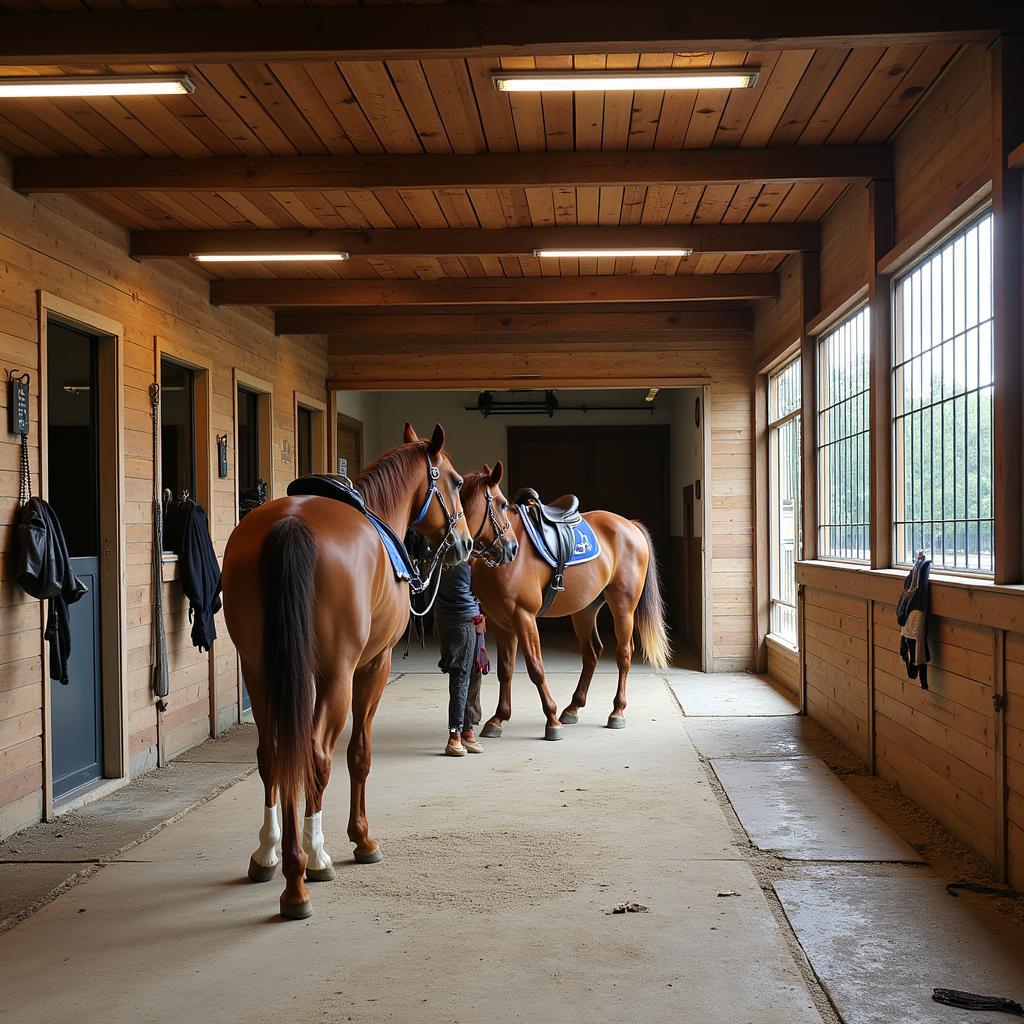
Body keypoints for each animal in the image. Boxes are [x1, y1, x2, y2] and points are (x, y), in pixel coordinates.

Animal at [222, 423, 473, 921]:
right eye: (456, 483)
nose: (465, 542)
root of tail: (290, 525)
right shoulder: (372, 667)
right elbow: (359, 754)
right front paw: (361, 839)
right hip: (337, 677)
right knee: (317, 754)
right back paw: (307, 868)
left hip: (259, 671)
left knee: (274, 753)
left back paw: (271, 855)